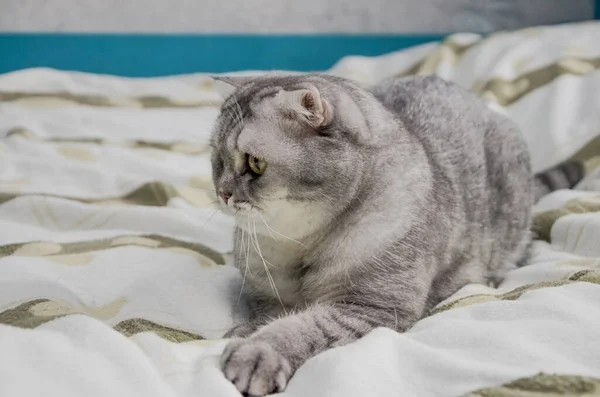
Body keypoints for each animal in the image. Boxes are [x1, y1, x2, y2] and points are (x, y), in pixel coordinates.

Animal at [209, 72, 584, 394]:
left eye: (255, 164)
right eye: (218, 160)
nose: (223, 192)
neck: (298, 244)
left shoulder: (370, 308)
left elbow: (299, 327)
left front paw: (256, 352)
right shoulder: (265, 294)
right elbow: (268, 314)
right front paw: (244, 330)